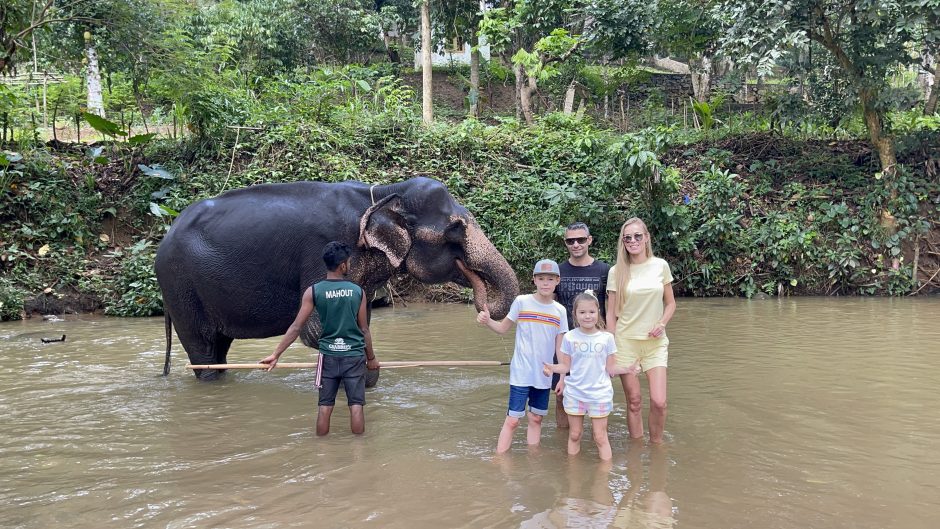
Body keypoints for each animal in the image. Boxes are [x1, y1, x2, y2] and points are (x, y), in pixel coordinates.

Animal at [156, 177, 520, 380]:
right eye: (455, 229)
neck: (384, 192)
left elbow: (362, 321)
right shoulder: (322, 252)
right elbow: (315, 330)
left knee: (218, 349)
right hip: (181, 287)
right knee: (203, 349)